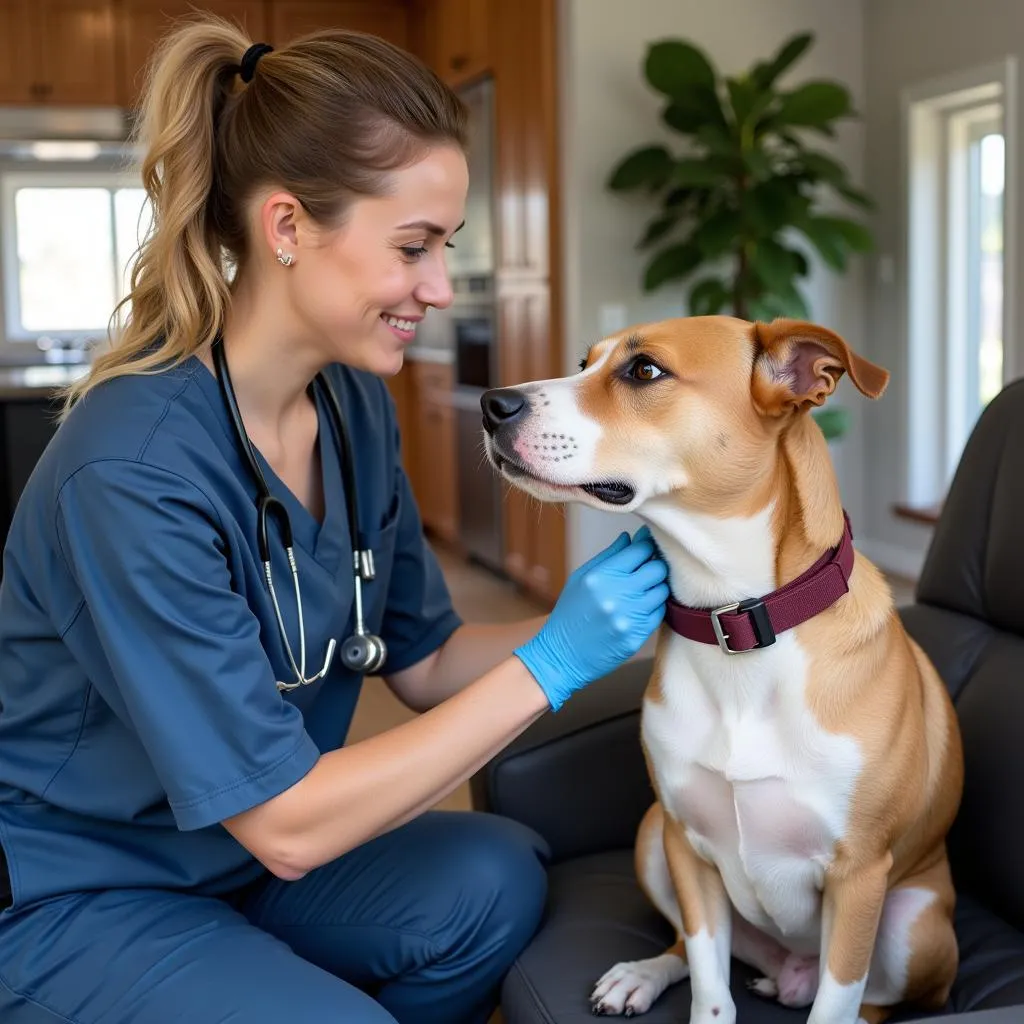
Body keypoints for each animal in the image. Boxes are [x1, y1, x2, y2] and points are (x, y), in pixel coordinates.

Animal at [483, 317, 962, 1024]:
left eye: (644, 371)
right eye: (584, 361)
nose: (491, 404)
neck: (735, 621)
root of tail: (788, 971)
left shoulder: (860, 878)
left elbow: (837, 1003)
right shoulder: (686, 845)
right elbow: (710, 980)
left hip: (915, 924)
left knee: (870, 1002)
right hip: (651, 838)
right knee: (690, 944)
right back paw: (643, 974)